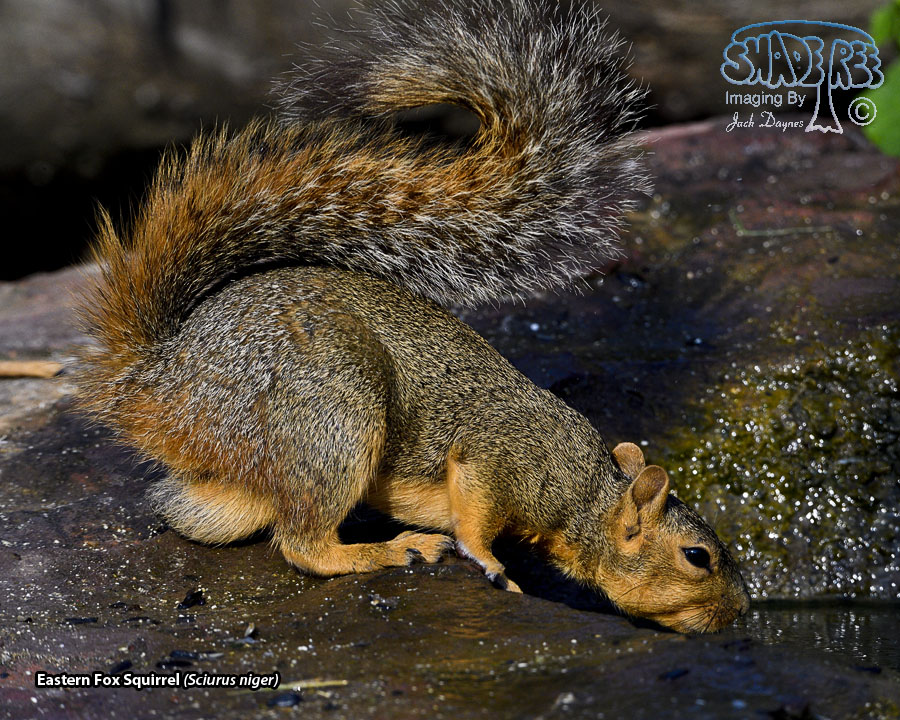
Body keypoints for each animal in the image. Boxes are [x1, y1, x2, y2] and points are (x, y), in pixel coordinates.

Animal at [75, 0, 750, 633]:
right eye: (698, 557)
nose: (741, 612)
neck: (586, 495)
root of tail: (159, 383)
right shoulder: (501, 459)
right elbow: (476, 516)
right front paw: (492, 565)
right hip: (334, 407)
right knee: (303, 544)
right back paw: (383, 551)